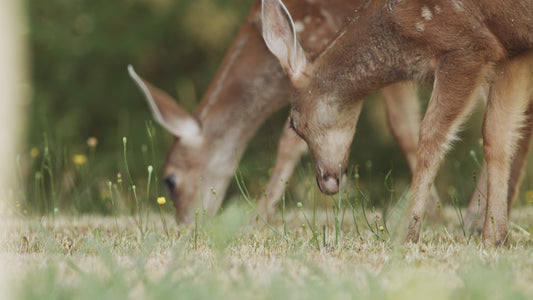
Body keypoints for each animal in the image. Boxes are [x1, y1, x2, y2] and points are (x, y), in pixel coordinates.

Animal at [262, 0, 532, 245]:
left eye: (294, 123)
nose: (325, 182)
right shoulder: (513, 51)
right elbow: (496, 135)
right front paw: (494, 237)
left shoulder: (465, 45)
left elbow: (430, 136)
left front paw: (408, 233)